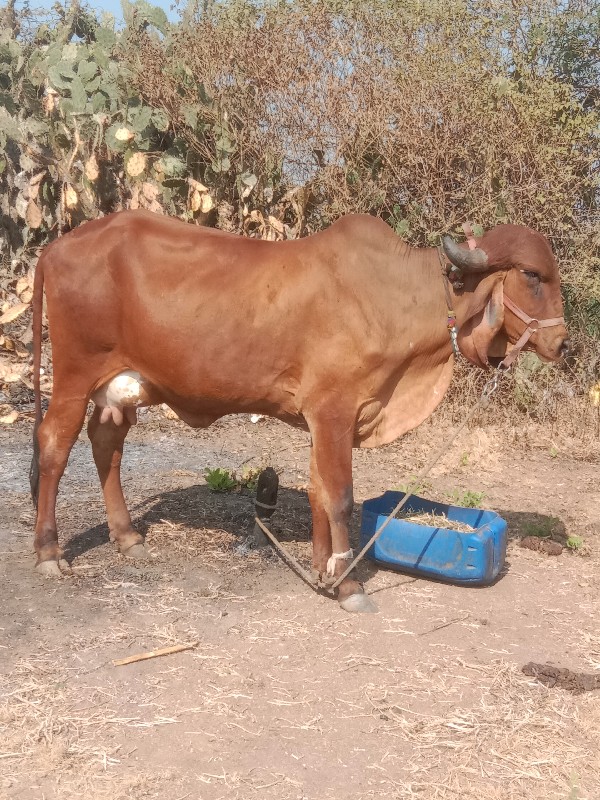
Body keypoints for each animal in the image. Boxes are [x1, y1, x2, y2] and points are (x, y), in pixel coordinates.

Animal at [29, 211, 568, 612]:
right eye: (533, 275)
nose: (562, 343)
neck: (395, 298)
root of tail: (56, 247)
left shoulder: (321, 418)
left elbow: (317, 491)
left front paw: (319, 567)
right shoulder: (334, 412)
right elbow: (341, 497)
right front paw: (347, 583)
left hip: (121, 387)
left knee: (106, 444)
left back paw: (126, 536)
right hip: (75, 375)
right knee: (54, 446)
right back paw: (49, 551)